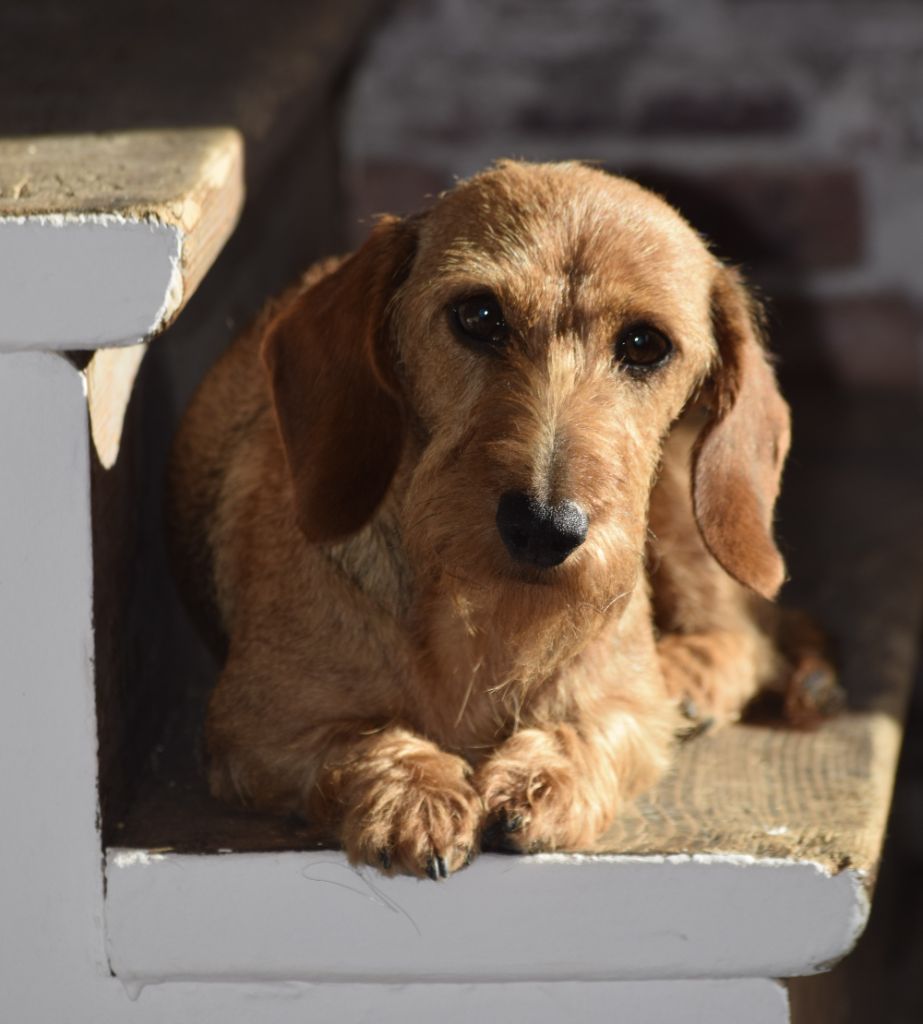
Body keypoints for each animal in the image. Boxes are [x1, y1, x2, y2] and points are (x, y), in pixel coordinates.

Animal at [169, 159, 840, 880]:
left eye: (644, 344)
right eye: (478, 315)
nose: (543, 528)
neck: (484, 616)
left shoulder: (627, 711)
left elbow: (599, 726)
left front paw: (541, 781)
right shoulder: (255, 731)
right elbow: (364, 741)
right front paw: (414, 796)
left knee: (754, 635)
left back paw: (692, 678)